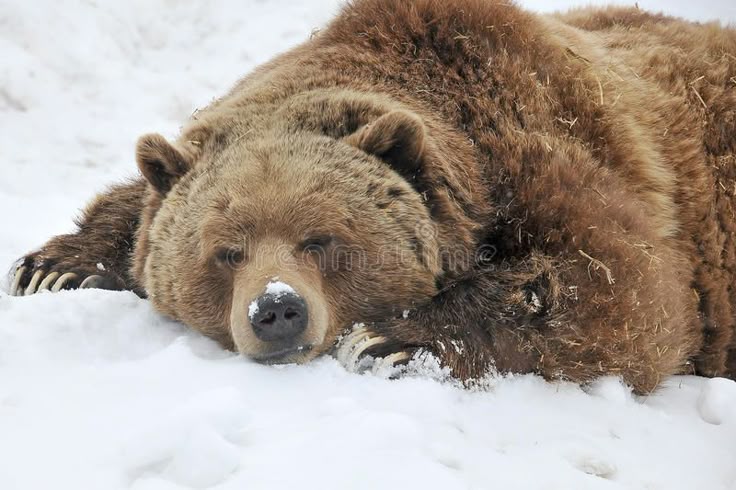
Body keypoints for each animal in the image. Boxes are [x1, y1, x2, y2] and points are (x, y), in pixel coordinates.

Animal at [8, 0, 736, 394]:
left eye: (321, 240)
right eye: (226, 251)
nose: (278, 311)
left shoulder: (554, 155)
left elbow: (623, 291)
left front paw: (388, 337)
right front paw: (53, 267)